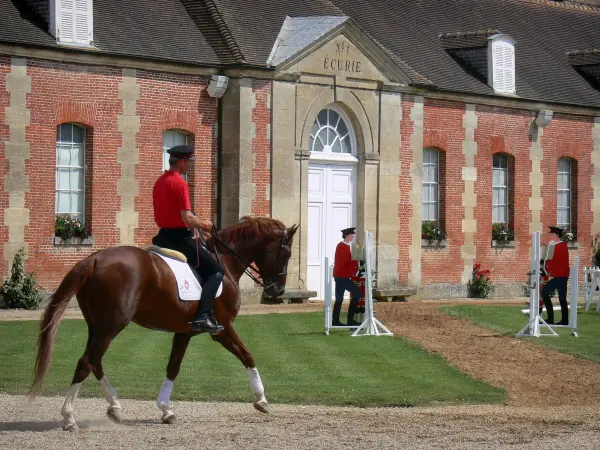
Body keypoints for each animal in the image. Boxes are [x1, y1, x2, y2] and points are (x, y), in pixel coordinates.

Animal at [29, 216, 298, 430]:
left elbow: (173, 367)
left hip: (97, 326)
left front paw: (166, 409)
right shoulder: (222, 329)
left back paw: (115, 407)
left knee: (95, 362)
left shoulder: (185, 332)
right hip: (110, 325)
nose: (278, 290)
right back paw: (69, 417)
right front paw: (261, 399)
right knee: (86, 362)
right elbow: (247, 355)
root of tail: (94, 259)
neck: (225, 262)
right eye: (286, 253)